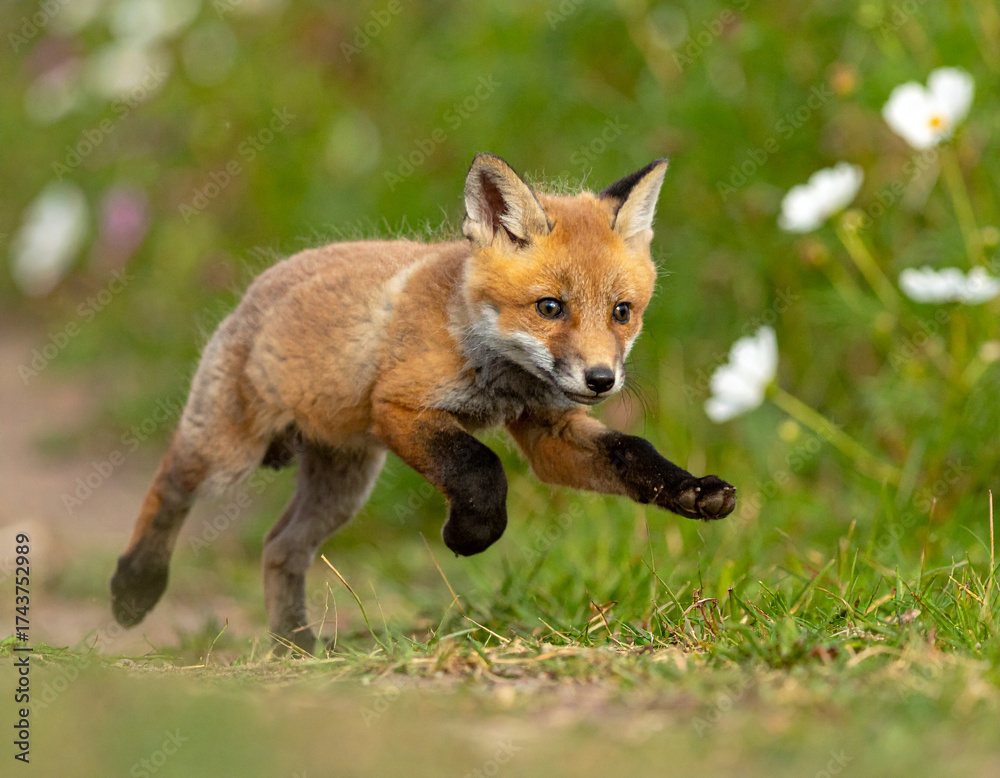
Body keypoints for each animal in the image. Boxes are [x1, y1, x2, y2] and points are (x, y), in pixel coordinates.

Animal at [110, 153, 736, 650]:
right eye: (550, 308)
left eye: (621, 312)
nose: (601, 379)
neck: (495, 373)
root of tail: (258, 286)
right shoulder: (401, 409)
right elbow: (482, 467)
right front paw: (468, 536)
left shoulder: (548, 428)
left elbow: (633, 453)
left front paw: (693, 491)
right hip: (230, 454)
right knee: (170, 485)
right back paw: (135, 586)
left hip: (342, 485)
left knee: (280, 547)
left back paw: (297, 645)